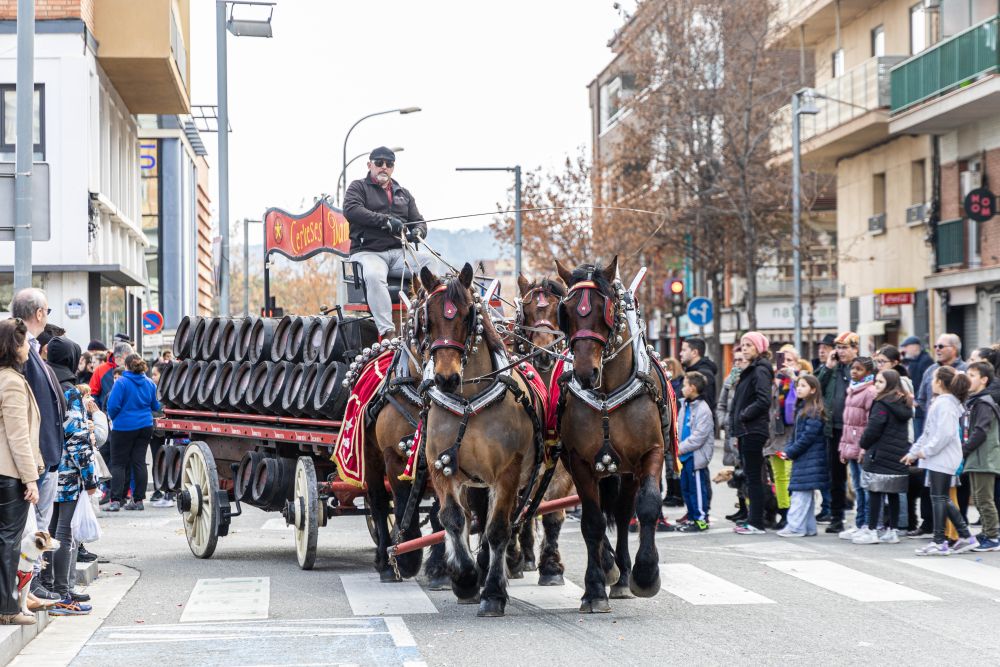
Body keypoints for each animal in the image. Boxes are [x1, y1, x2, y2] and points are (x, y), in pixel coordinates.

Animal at [422, 264, 548, 620]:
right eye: (427, 317)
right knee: (473, 516)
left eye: (468, 315)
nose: (446, 378)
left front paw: (492, 592)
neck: (468, 402)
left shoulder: (507, 473)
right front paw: (464, 579)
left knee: (507, 521)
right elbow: (453, 518)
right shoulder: (441, 465)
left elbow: (498, 529)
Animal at [556, 258, 672, 616]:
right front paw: (593, 589)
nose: (585, 372)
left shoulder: (651, 453)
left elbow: (647, 506)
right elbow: (591, 521)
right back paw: (609, 568)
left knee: (622, 514)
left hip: (626, 471)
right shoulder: (579, 462)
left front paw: (646, 574)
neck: (607, 394)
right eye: (567, 311)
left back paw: (622, 575)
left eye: (603, 308)